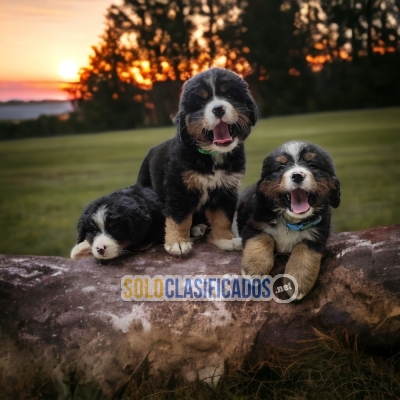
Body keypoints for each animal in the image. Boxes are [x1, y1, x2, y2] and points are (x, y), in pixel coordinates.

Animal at [136, 68, 258, 256]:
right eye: (200, 104)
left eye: (229, 95)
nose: (218, 109)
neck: (212, 156)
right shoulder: (178, 187)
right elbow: (179, 218)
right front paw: (178, 242)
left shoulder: (225, 189)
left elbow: (223, 218)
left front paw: (226, 239)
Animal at [238, 142, 340, 298]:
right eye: (280, 167)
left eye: (312, 165)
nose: (297, 175)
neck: (291, 222)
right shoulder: (254, 224)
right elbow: (263, 238)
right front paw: (254, 270)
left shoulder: (317, 237)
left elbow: (304, 253)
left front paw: (298, 282)